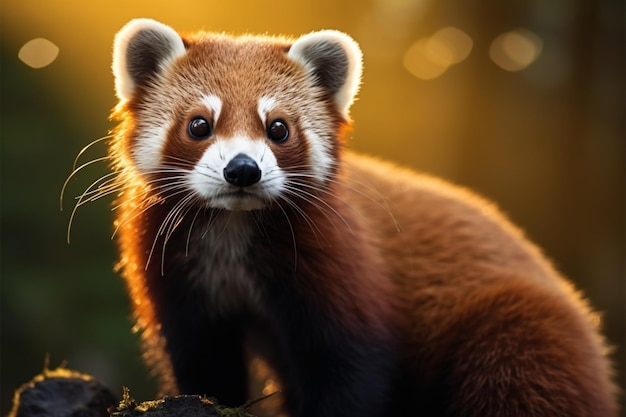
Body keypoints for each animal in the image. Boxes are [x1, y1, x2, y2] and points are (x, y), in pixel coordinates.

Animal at [98, 18, 616, 416]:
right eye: (199, 125)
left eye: (278, 128)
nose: (242, 170)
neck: (233, 231)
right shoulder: (178, 274)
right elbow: (202, 362)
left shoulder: (343, 267)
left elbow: (351, 371)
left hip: (518, 330)